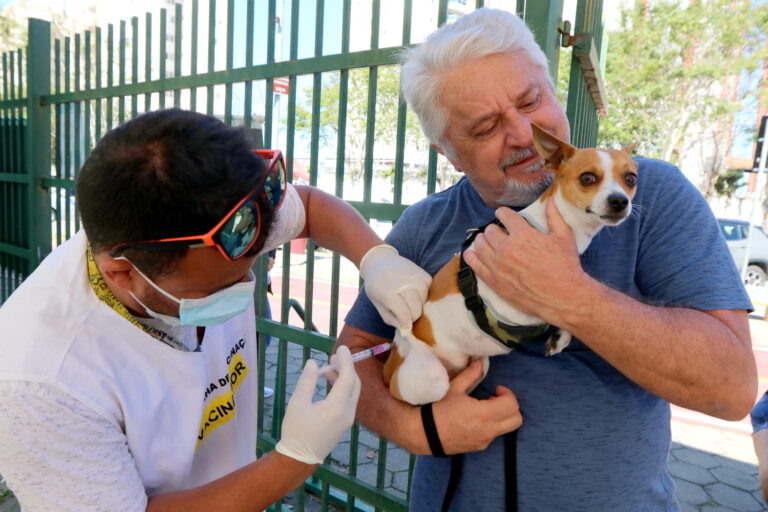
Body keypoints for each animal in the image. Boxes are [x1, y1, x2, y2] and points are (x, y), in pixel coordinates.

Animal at [382, 124, 636, 404]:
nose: (619, 201)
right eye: (587, 178)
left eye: (631, 179)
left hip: (480, 365)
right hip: (430, 377)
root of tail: (390, 363)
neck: (547, 225)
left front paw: (560, 336)